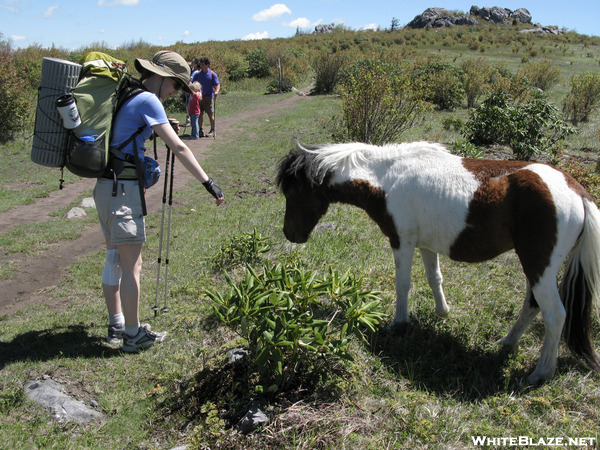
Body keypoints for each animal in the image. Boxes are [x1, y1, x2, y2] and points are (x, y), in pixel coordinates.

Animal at [276, 141, 600, 384]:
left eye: (292, 191)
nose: (289, 235)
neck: (387, 178)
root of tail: (578, 191)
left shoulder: (402, 242)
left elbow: (403, 285)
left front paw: (399, 324)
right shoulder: (425, 245)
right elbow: (435, 278)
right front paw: (442, 313)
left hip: (539, 266)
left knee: (555, 315)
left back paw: (541, 373)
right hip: (537, 269)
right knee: (532, 306)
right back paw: (506, 343)